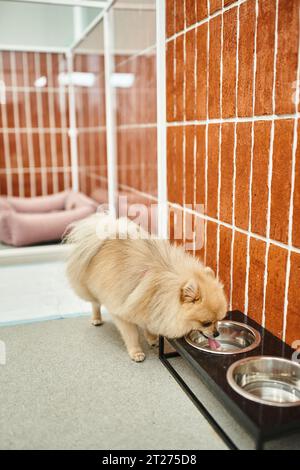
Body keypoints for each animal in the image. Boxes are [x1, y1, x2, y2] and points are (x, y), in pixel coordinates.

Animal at [65, 214, 227, 364]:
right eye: (206, 323)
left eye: (219, 320)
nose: (217, 333)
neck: (160, 283)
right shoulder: (122, 310)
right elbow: (131, 335)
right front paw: (136, 352)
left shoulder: (150, 304)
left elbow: (148, 323)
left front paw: (152, 338)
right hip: (90, 288)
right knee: (95, 303)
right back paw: (96, 318)